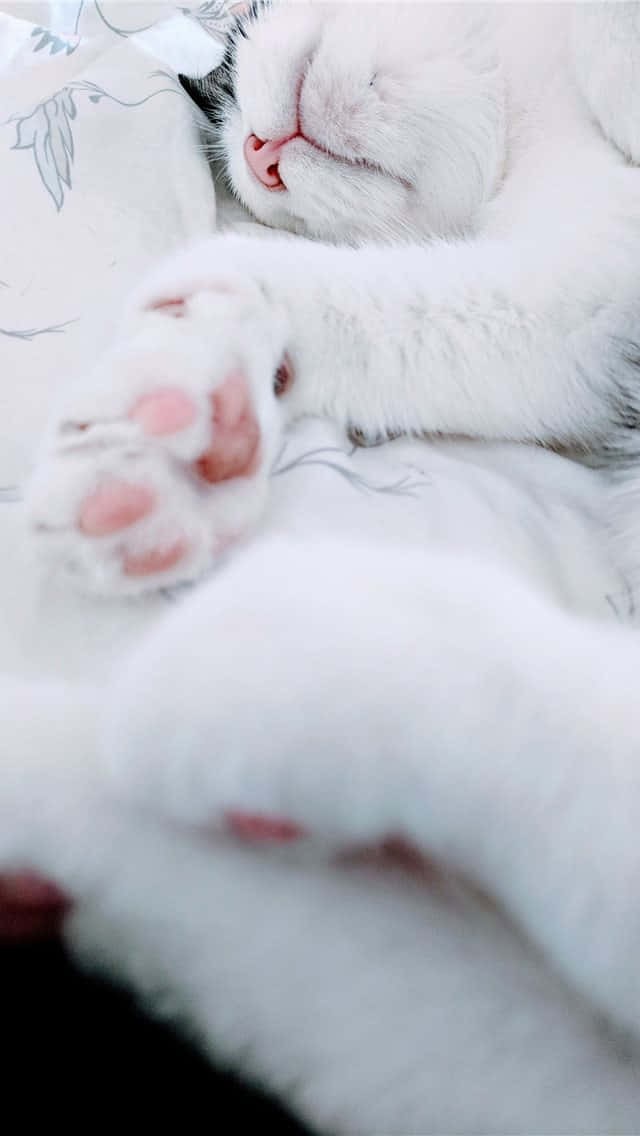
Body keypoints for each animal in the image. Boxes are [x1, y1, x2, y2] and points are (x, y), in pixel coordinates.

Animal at [27, 2, 640, 595]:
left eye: (237, 77)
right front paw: (187, 413)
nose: (258, 155)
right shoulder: (587, 289)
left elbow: (601, 26)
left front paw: (616, 85)